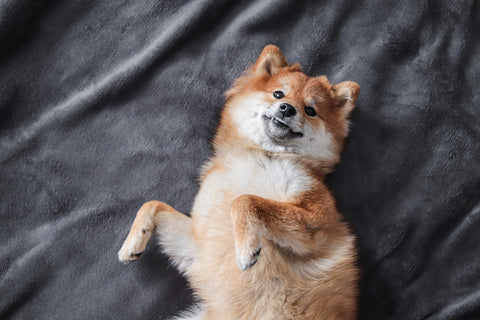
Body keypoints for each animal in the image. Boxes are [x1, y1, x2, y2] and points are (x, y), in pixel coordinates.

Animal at [118, 45, 360, 320]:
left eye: (311, 110)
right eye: (278, 94)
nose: (287, 108)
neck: (260, 154)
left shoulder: (316, 221)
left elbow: (244, 200)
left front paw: (246, 247)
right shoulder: (196, 245)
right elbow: (152, 204)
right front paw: (132, 243)